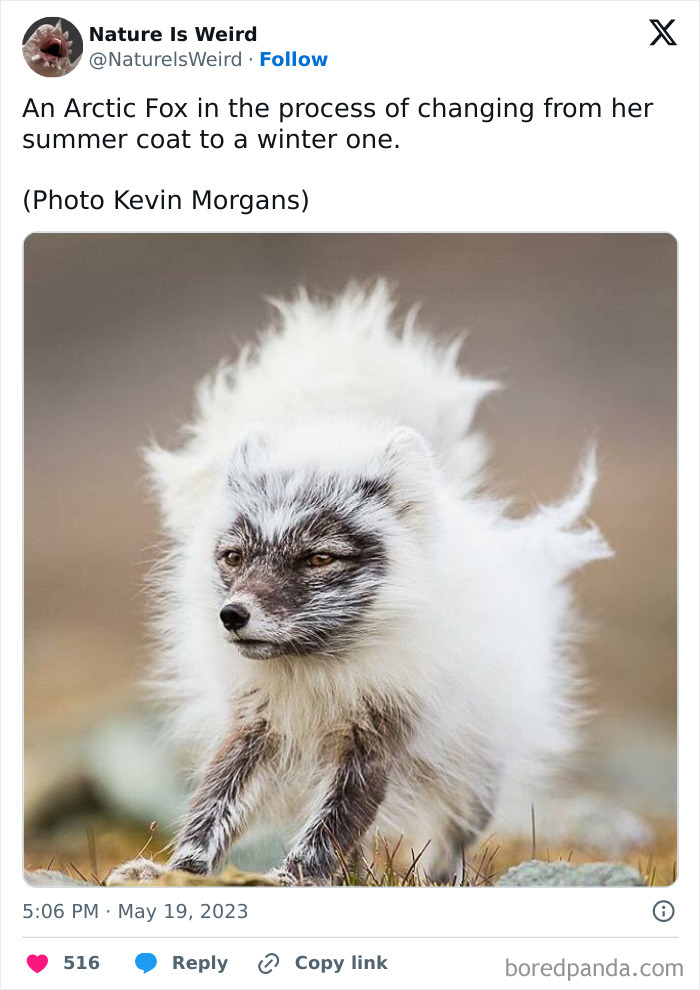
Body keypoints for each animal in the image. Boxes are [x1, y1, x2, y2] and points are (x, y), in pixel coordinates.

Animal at [108, 282, 612, 885]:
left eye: (319, 557)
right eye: (233, 556)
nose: (232, 615)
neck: (317, 674)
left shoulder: (375, 740)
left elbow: (328, 830)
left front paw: (289, 880)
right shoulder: (255, 726)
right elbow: (213, 806)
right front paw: (178, 871)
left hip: (473, 769)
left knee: (450, 834)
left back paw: (438, 878)